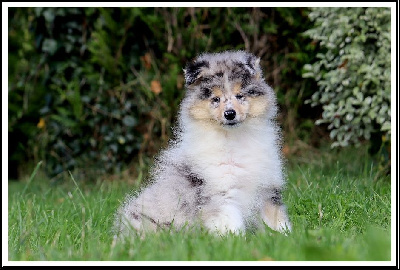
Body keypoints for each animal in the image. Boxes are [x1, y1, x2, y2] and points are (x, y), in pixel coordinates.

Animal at [114, 50, 292, 236]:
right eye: (215, 99)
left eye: (240, 95)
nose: (230, 114)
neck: (234, 139)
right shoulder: (221, 193)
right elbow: (230, 223)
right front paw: (235, 241)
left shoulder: (266, 188)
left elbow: (275, 217)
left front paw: (284, 236)